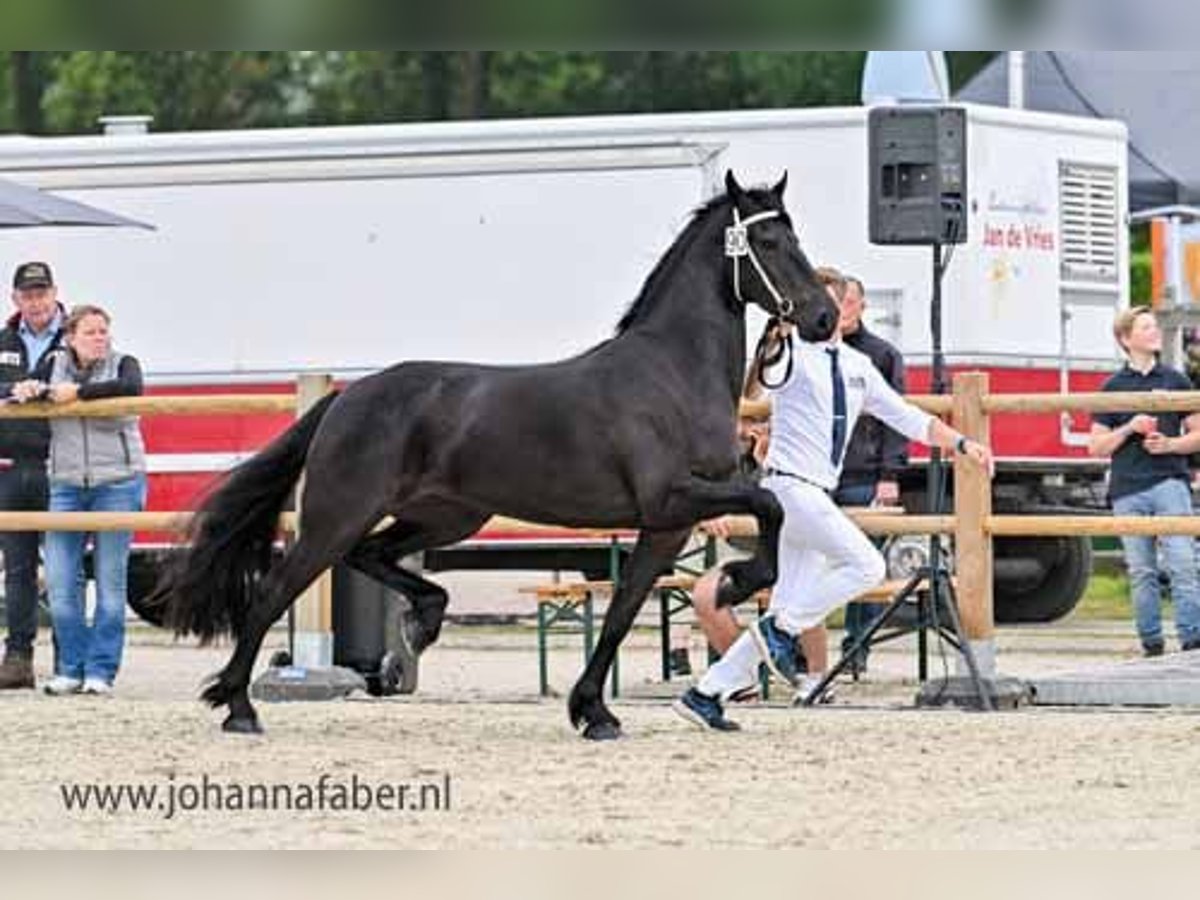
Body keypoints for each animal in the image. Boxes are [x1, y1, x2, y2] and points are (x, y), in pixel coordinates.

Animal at [150, 170, 835, 739]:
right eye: (768, 241)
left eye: (794, 236)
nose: (825, 317)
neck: (672, 373)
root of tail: (348, 397)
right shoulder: (673, 499)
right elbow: (769, 504)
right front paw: (736, 583)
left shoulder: (666, 526)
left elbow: (622, 612)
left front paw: (594, 711)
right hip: (337, 515)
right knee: (275, 591)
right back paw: (238, 706)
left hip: (447, 516)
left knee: (372, 556)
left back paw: (422, 622)